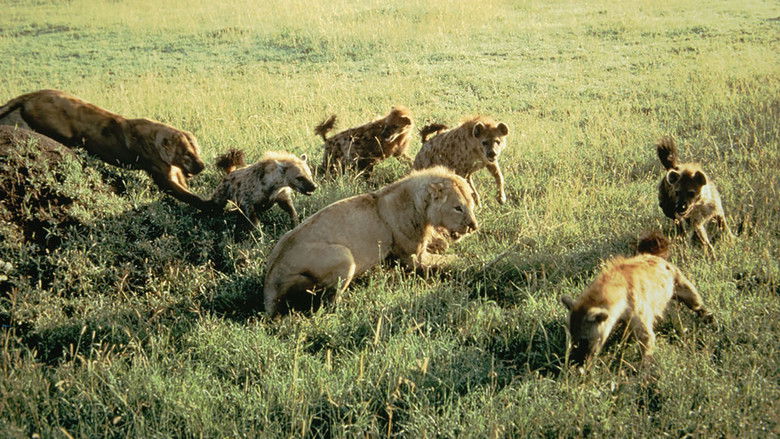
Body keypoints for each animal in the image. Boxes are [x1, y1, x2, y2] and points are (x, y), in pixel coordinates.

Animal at [0, 89, 209, 209]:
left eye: (197, 150)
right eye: (187, 153)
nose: (202, 165)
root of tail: (35, 93)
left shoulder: (174, 172)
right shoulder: (161, 176)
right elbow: (187, 195)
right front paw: (208, 206)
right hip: (57, 130)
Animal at [263, 166, 478, 317]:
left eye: (471, 204)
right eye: (458, 207)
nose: (474, 226)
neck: (419, 206)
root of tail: (270, 282)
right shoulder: (412, 258)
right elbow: (451, 260)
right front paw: (474, 263)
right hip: (344, 256)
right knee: (328, 303)